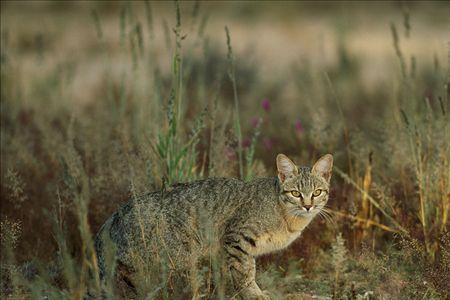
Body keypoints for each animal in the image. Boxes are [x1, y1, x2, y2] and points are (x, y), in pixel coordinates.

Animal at [95, 154, 332, 298]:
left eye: (317, 192)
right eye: (296, 193)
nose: (308, 205)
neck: (285, 215)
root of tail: (110, 219)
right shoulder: (237, 238)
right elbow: (245, 273)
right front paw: (253, 294)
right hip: (169, 262)